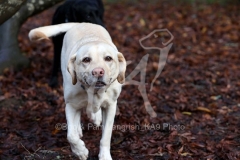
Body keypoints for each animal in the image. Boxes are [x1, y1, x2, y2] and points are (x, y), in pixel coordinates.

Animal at [28, 22, 126, 160]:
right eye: (86, 60)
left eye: (108, 58)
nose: (98, 72)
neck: (93, 92)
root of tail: (82, 23)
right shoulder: (70, 105)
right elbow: (71, 136)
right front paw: (80, 151)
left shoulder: (111, 106)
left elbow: (106, 136)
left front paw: (104, 156)